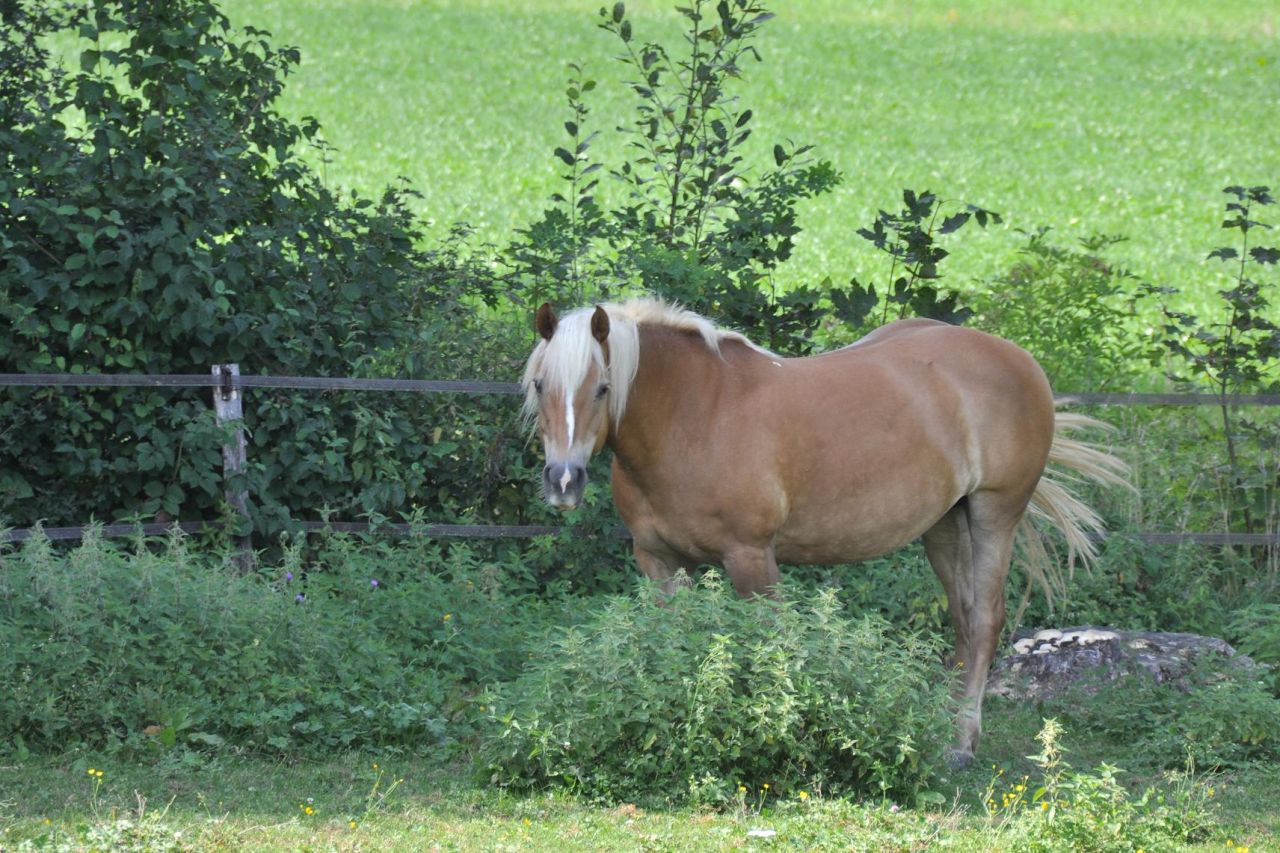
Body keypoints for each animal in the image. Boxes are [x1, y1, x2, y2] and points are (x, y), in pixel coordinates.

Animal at [521, 297, 1128, 766]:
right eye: (540, 383)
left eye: (602, 388)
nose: (564, 481)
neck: (693, 416)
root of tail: (1019, 359)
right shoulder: (658, 562)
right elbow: (678, 645)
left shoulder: (751, 558)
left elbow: (769, 647)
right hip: (943, 526)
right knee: (960, 619)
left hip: (994, 514)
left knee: (983, 621)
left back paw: (960, 744)